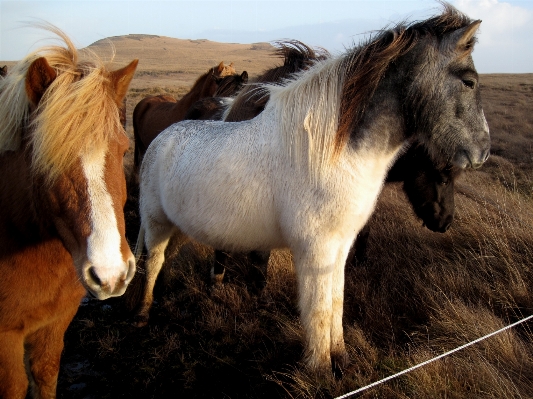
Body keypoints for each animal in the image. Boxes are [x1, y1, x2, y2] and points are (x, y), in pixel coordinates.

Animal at [0, 26, 137, 398]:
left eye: (124, 150)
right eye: (45, 161)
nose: (110, 275)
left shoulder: (56, 321)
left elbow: (46, 374)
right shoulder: (5, 337)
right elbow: (14, 387)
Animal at [135, 5, 488, 376]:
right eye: (469, 81)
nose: (482, 151)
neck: (331, 153)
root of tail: (161, 138)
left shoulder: (341, 245)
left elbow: (335, 300)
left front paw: (340, 357)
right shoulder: (314, 248)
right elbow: (318, 309)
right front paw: (319, 369)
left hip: (178, 226)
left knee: (167, 257)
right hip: (156, 221)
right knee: (154, 259)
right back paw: (143, 313)